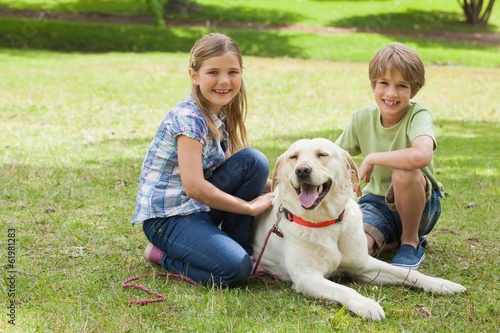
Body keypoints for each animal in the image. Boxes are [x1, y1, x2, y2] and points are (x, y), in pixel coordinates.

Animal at [252, 137, 466, 320]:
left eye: (322, 154)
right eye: (293, 157)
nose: (302, 170)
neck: (328, 223)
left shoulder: (363, 265)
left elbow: (407, 273)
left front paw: (440, 284)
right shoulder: (307, 276)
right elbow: (344, 289)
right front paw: (366, 304)